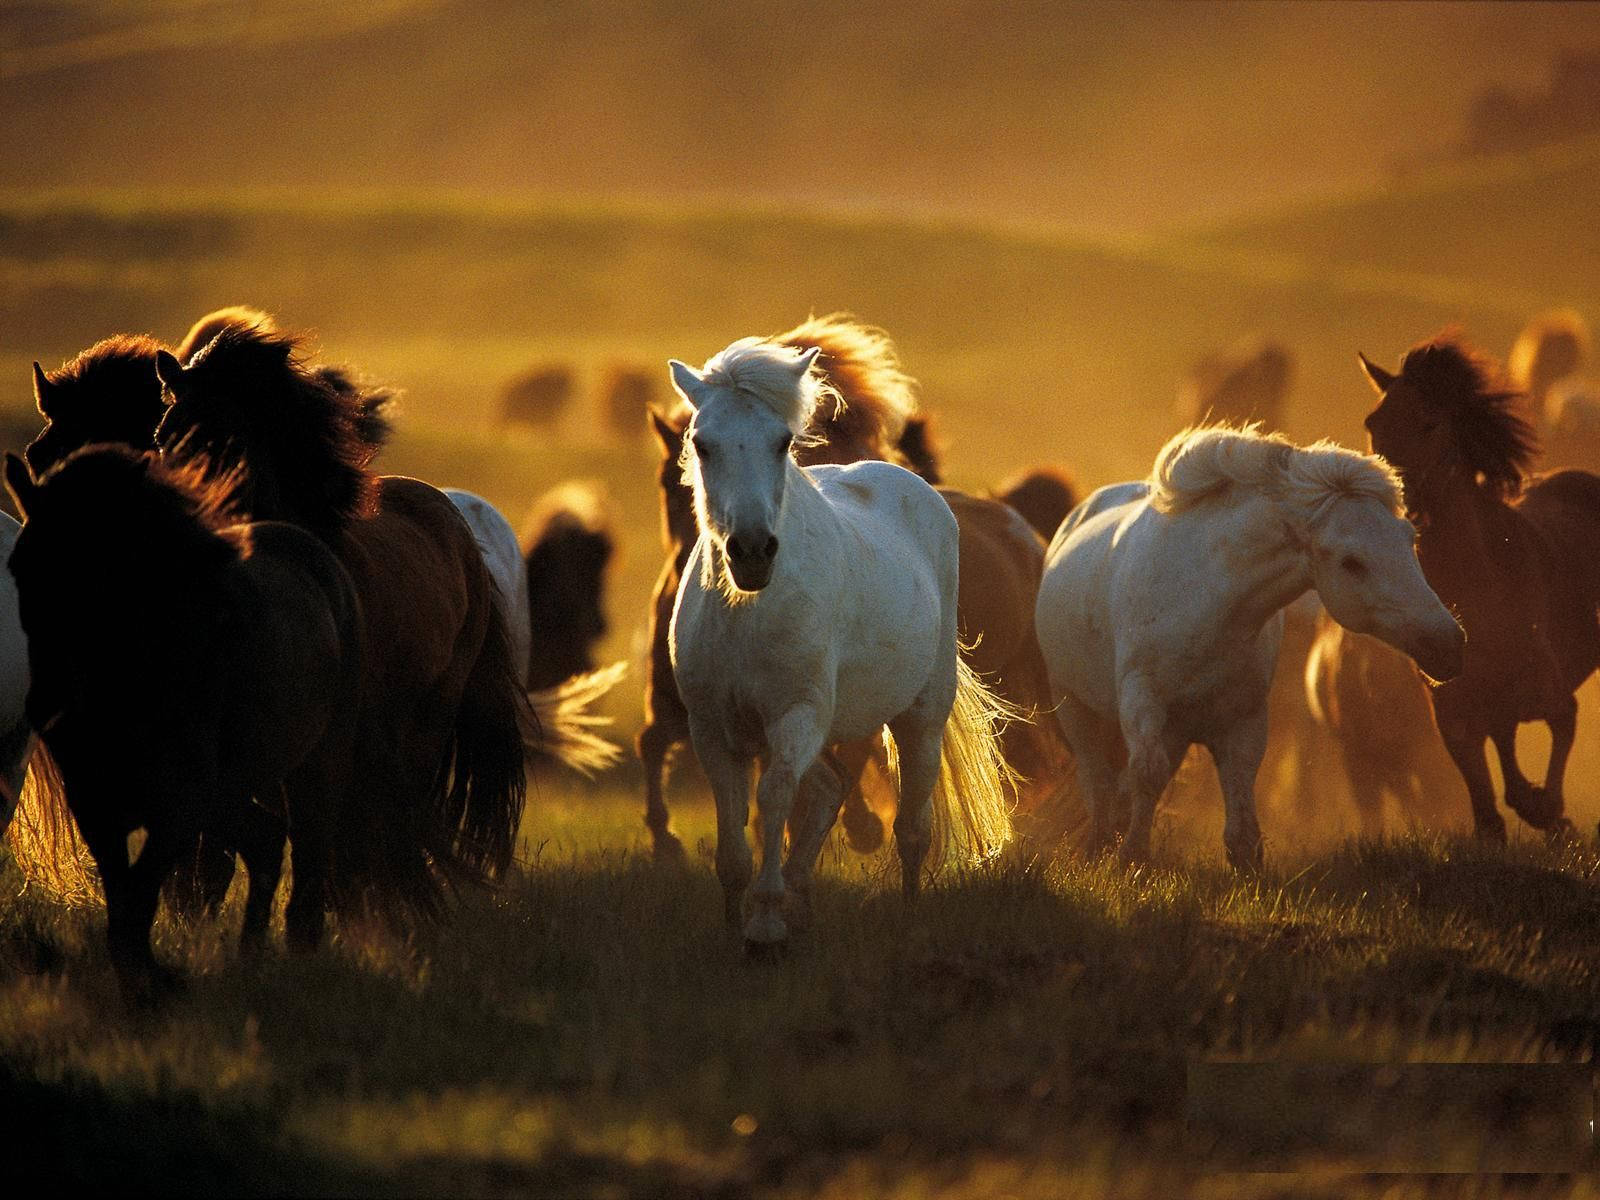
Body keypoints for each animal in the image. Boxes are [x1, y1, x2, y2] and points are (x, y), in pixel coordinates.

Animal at [665, 336, 1011, 947]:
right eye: (702, 444)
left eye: (782, 442)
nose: (751, 552)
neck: (746, 614)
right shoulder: (712, 729)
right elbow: (734, 835)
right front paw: (738, 922)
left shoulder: (796, 716)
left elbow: (775, 796)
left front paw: (765, 924)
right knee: (830, 788)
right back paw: (802, 900)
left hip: (921, 717)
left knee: (911, 827)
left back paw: (907, 913)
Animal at [1036, 428, 1465, 870]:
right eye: (1351, 561)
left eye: (1409, 538)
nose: (1449, 643)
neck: (1207, 599)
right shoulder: (1142, 699)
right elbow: (1147, 774)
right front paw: (1131, 858)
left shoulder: (1243, 716)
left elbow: (1239, 798)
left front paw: (1246, 867)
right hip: (1074, 706)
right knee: (1097, 780)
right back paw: (1100, 842)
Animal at [1363, 334, 1600, 838]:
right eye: (1373, 423)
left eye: (1430, 422)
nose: (1392, 498)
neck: (1480, 584)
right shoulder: (1454, 714)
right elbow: (1489, 810)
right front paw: (1534, 809)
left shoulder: (1551, 695)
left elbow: (1561, 730)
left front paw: (1552, 812)